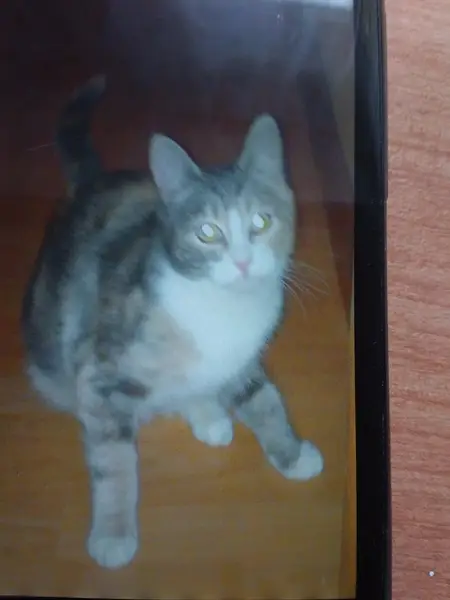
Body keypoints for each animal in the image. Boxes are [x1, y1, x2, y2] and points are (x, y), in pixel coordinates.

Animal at [21, 76, 324, 570]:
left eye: (262, 222)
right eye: (207, 232)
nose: (243, 262)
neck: (221, 309)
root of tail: (90, 183)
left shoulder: (243, 357)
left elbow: (264, 399)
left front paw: (291, 452)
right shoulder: (101, 370)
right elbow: (114, 460)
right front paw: (113, 533)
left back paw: (208, 413)